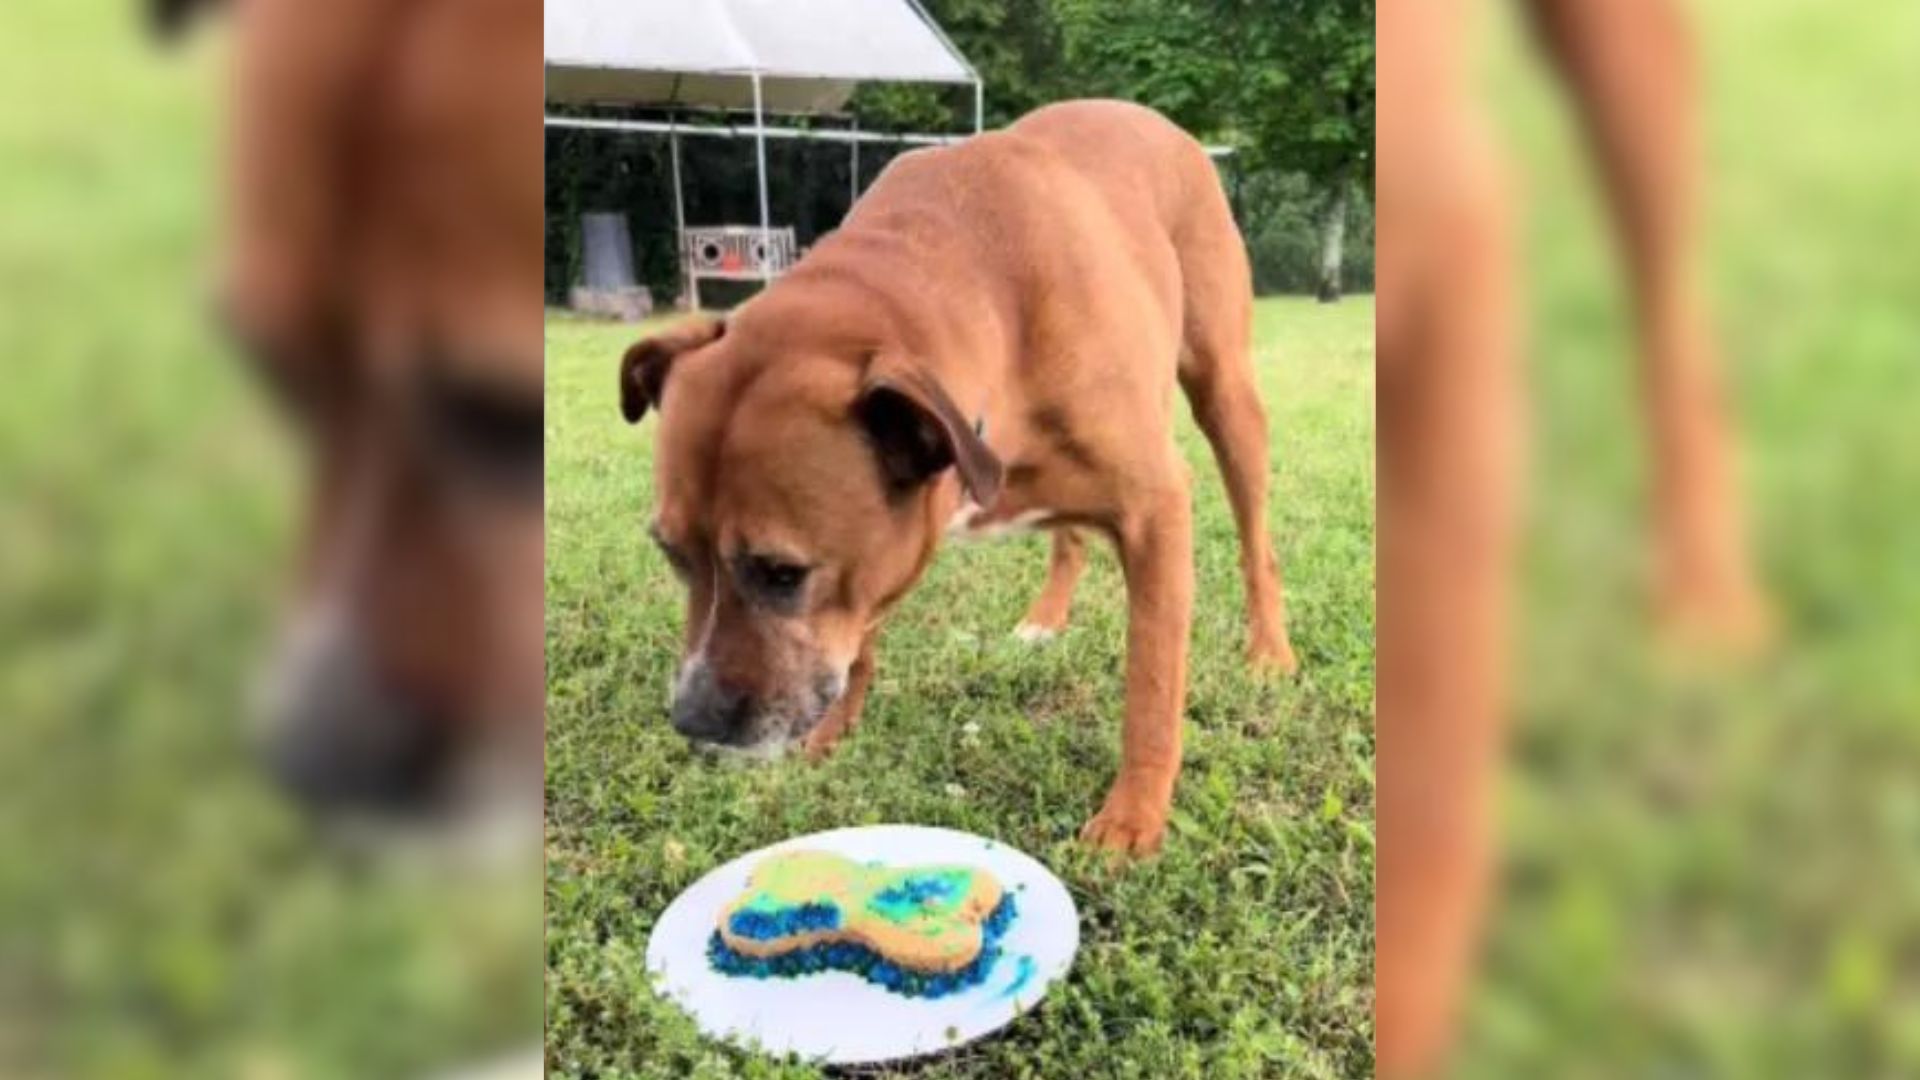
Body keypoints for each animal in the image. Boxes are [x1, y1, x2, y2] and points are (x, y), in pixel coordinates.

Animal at [622, 98, 1297, 849]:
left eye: (782, 574)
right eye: (673, 555)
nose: (693, 720)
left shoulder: (1156, 511)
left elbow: (1152, 682)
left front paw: (1133, 817)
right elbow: (858, 639)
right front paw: (835, 730)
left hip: (1226, 394)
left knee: (1255, 541)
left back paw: (1270, 652)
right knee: (1070, 535)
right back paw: (1046, 618)